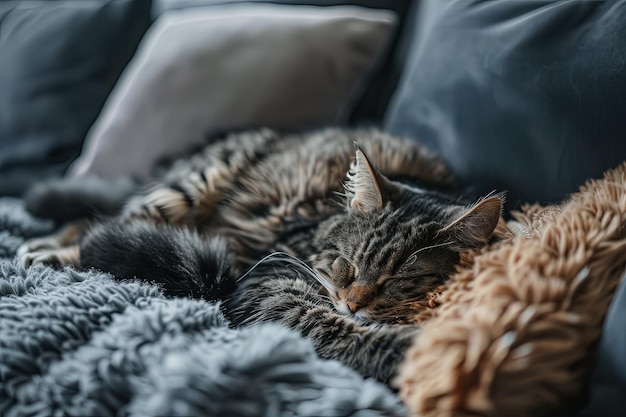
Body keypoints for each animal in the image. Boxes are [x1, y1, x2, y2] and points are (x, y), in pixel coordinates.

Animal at [19, 127, 504, 384]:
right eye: (348, 265)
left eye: (399, 280)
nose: (353, 304)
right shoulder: (271, 278)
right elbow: (341, 330)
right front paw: (426, 352)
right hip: (189, 187)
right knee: (106, 224)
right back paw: (44, 252)